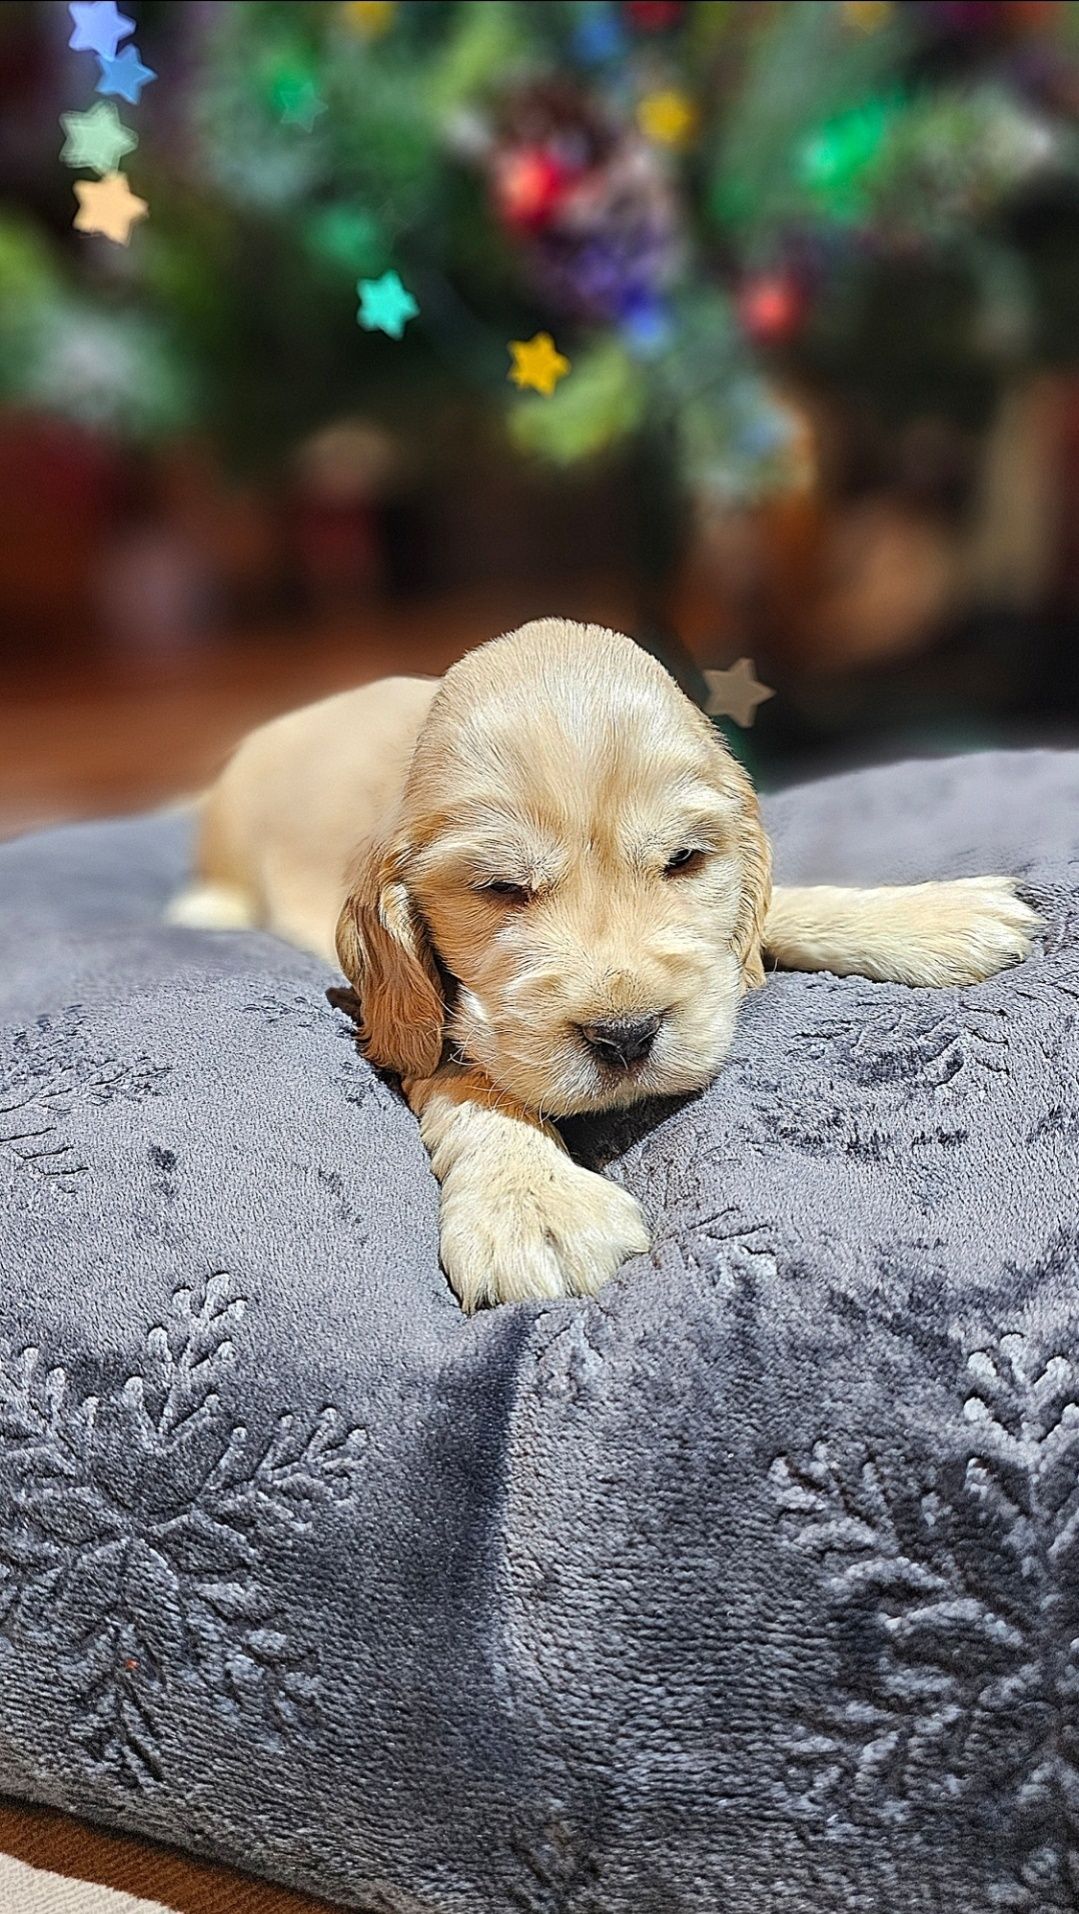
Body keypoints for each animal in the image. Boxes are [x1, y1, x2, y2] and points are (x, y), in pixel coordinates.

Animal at [173, 620, 1040, 1309]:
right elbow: (464, 1068)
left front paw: (932, 917)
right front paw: (533, 1203)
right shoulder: (403, 1004)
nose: (625, 1037)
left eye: (683, 860)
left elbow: (770, 914)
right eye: (500, 887)